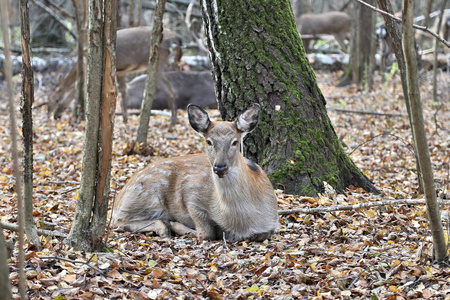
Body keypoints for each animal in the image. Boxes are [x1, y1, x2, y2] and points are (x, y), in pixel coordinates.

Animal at [111, 103, 280, 241]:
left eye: (235, 142)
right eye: (209, 141)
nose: (219, 167)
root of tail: (120, 195)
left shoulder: (272, 222)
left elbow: (263, 234)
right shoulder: (192, 194)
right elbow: (205, 233)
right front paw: (177, 225)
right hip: (147, 194)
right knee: (117, 220)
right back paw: (164, 227)